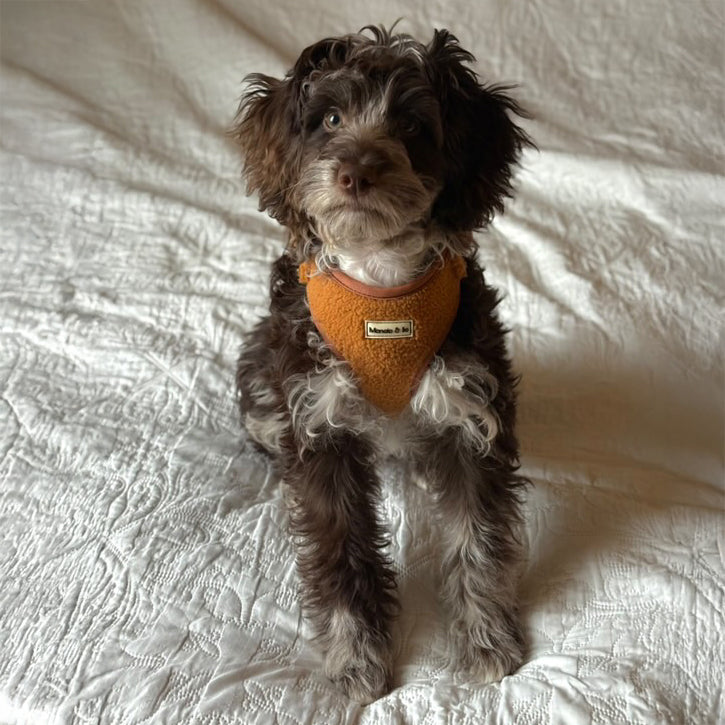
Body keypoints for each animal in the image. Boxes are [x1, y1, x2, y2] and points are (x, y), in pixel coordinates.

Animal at [232, 25, 532, 700]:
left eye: (414, 126)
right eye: (330, 118)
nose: (354, 171)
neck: (383, 285)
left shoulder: (473, 414)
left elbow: (477, 540)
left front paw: (486, 640)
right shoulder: (320, 429)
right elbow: (341, 555)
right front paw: (354, 661)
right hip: (262, 379)